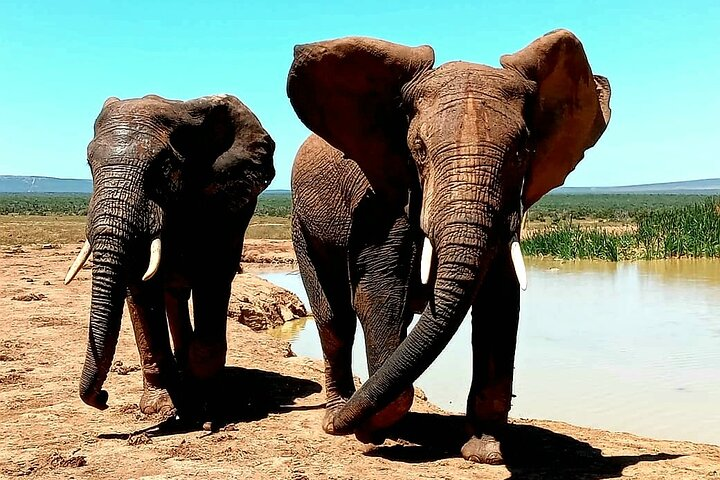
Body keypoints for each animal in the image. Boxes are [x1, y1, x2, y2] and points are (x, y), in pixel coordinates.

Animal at [64, 94, 275, 418]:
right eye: (89, 163)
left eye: (162, 167)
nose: (104, 397)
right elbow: (140, 289)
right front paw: (161, 407)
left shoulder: (224, 207)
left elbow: (213, 277)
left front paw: (206, 401)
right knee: (174, 294)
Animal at [287, 30, 610, 463]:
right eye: (418, 149)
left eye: (522, 151)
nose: (350, 428)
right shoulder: (380, 204)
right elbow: (378, 296)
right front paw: (370, 434)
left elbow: (500, 304)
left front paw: (484, 451)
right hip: (301, 224)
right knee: (334, 317)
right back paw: (336, 412)